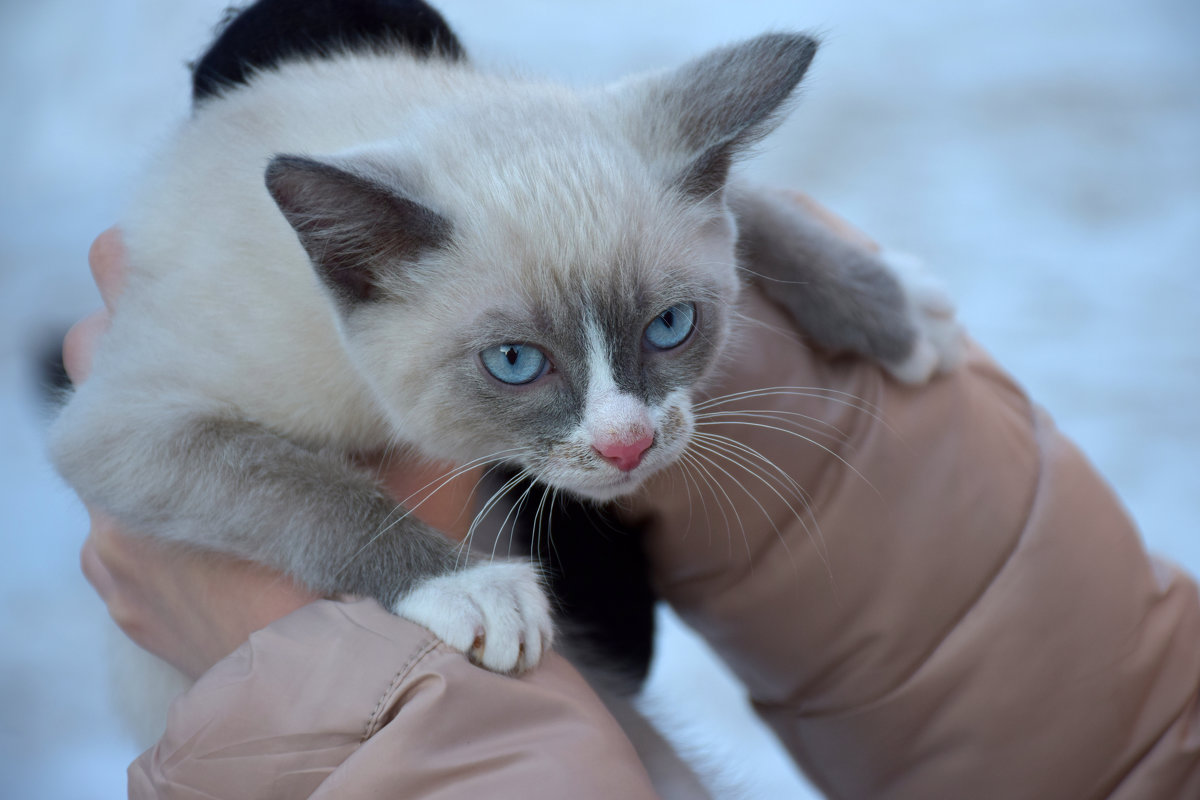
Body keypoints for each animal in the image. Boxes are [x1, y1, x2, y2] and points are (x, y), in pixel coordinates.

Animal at [54, 0, 955, 700]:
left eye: (670, 325)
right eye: (516, 363)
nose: (627, 445)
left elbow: (756, 207)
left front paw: (899, 308)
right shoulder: (125, 428)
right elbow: (307, 489)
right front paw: (473, 587)